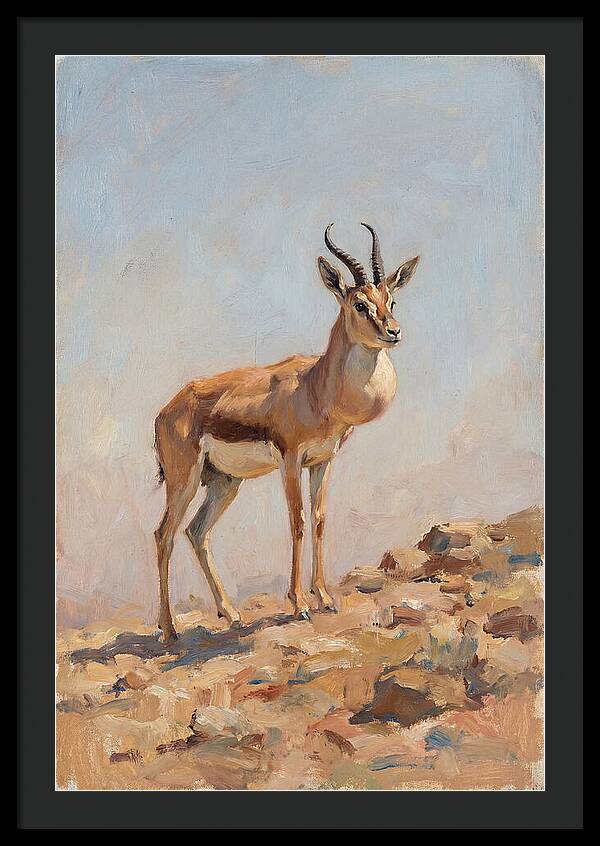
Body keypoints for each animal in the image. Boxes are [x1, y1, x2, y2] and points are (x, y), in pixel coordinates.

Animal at [153, 223, 419, 643]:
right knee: (163, 535)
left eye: (390, 299)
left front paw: (324, 597)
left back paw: (231, 615)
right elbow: (297, 522)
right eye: (359, 304)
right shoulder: (291, 460)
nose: (393, 332)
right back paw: (169, 630)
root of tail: (167, 410)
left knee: (196, 532)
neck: (315, 388)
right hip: (185, 479)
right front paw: (299, 604)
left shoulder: (323, 461)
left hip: (224, 482)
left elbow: (320, 520)